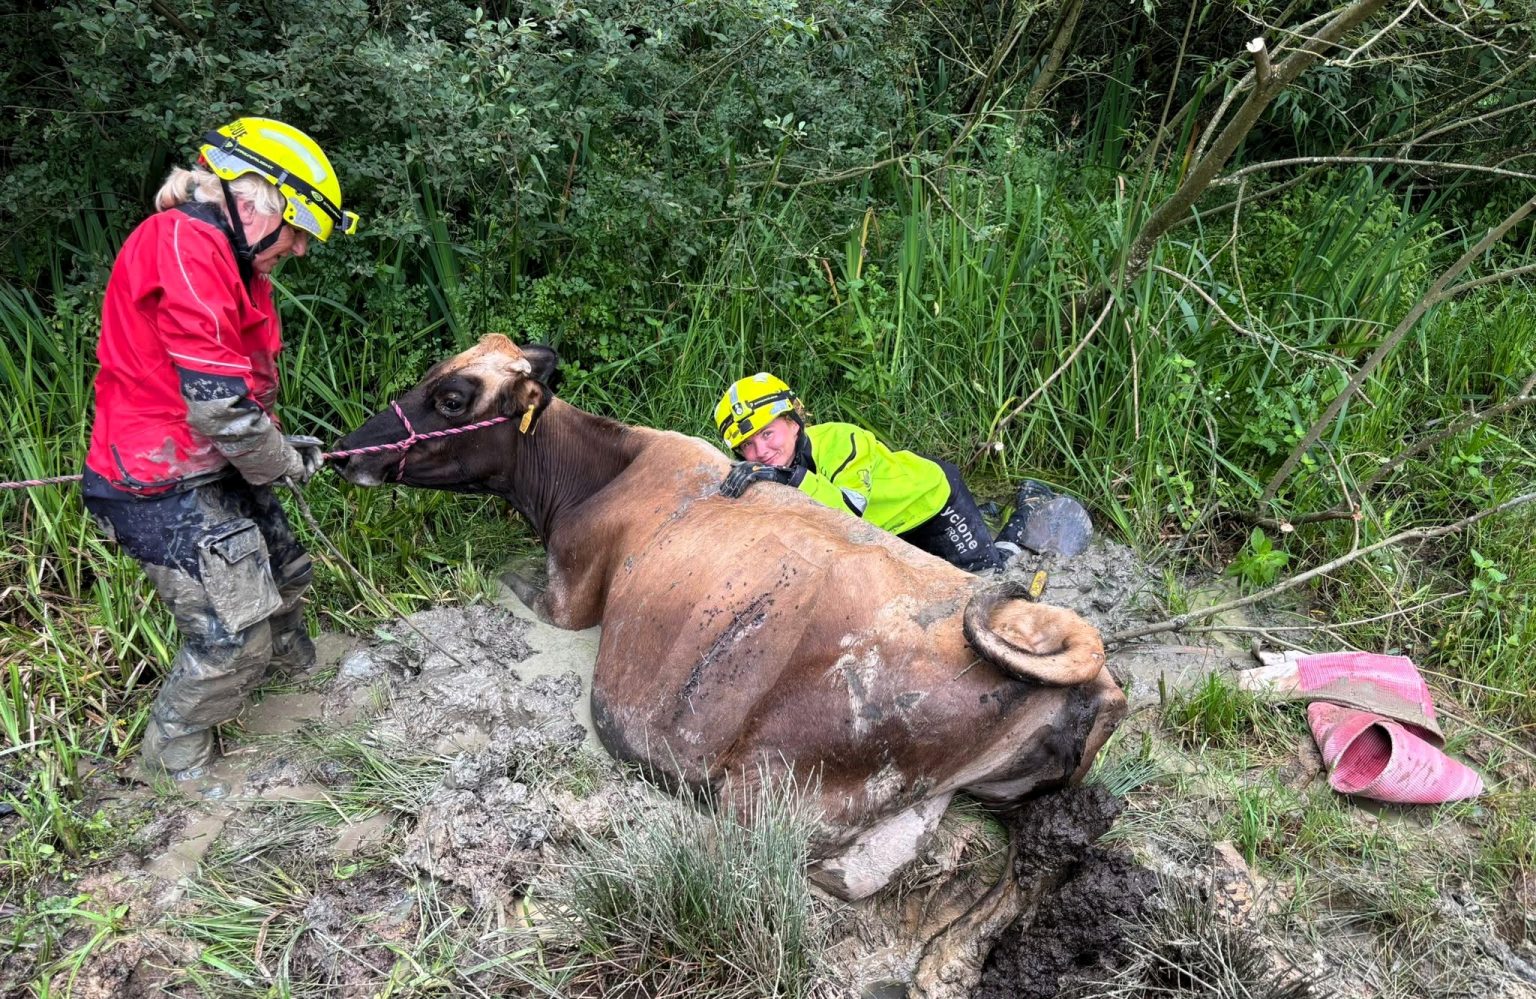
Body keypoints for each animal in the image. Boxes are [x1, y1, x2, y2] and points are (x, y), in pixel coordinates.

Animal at [332, 335, 1126, 992]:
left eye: (452, 397)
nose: (344, 450)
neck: (597, 474)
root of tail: (1089, 673)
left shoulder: (567, 593)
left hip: (772, 787)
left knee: (850, 873)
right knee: (1022, 857)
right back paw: (949, 963)